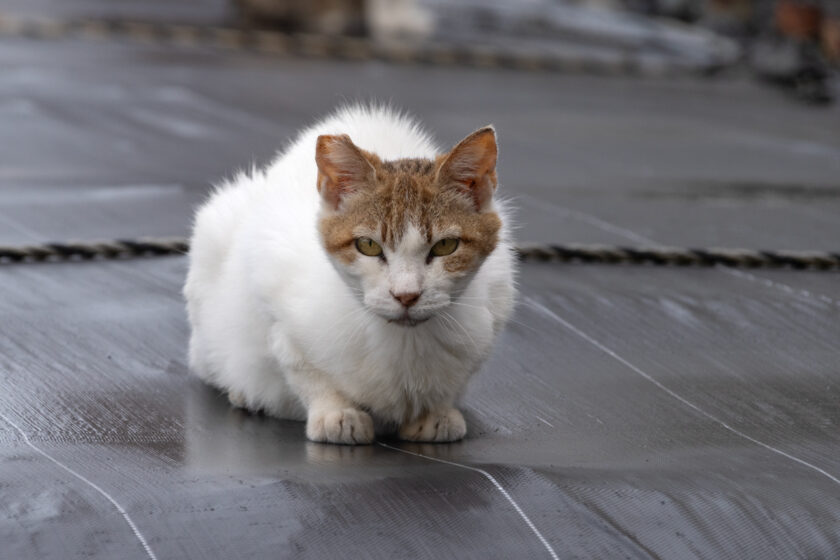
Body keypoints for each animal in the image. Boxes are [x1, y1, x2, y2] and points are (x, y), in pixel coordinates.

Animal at [184, 105, 516, 444]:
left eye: (446, 245)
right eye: (368, 245)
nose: (406, 295)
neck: (403, 341)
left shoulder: (497, 294)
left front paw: (435, 412)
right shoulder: (272, 286)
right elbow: (301, 366)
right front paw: (336, 412)